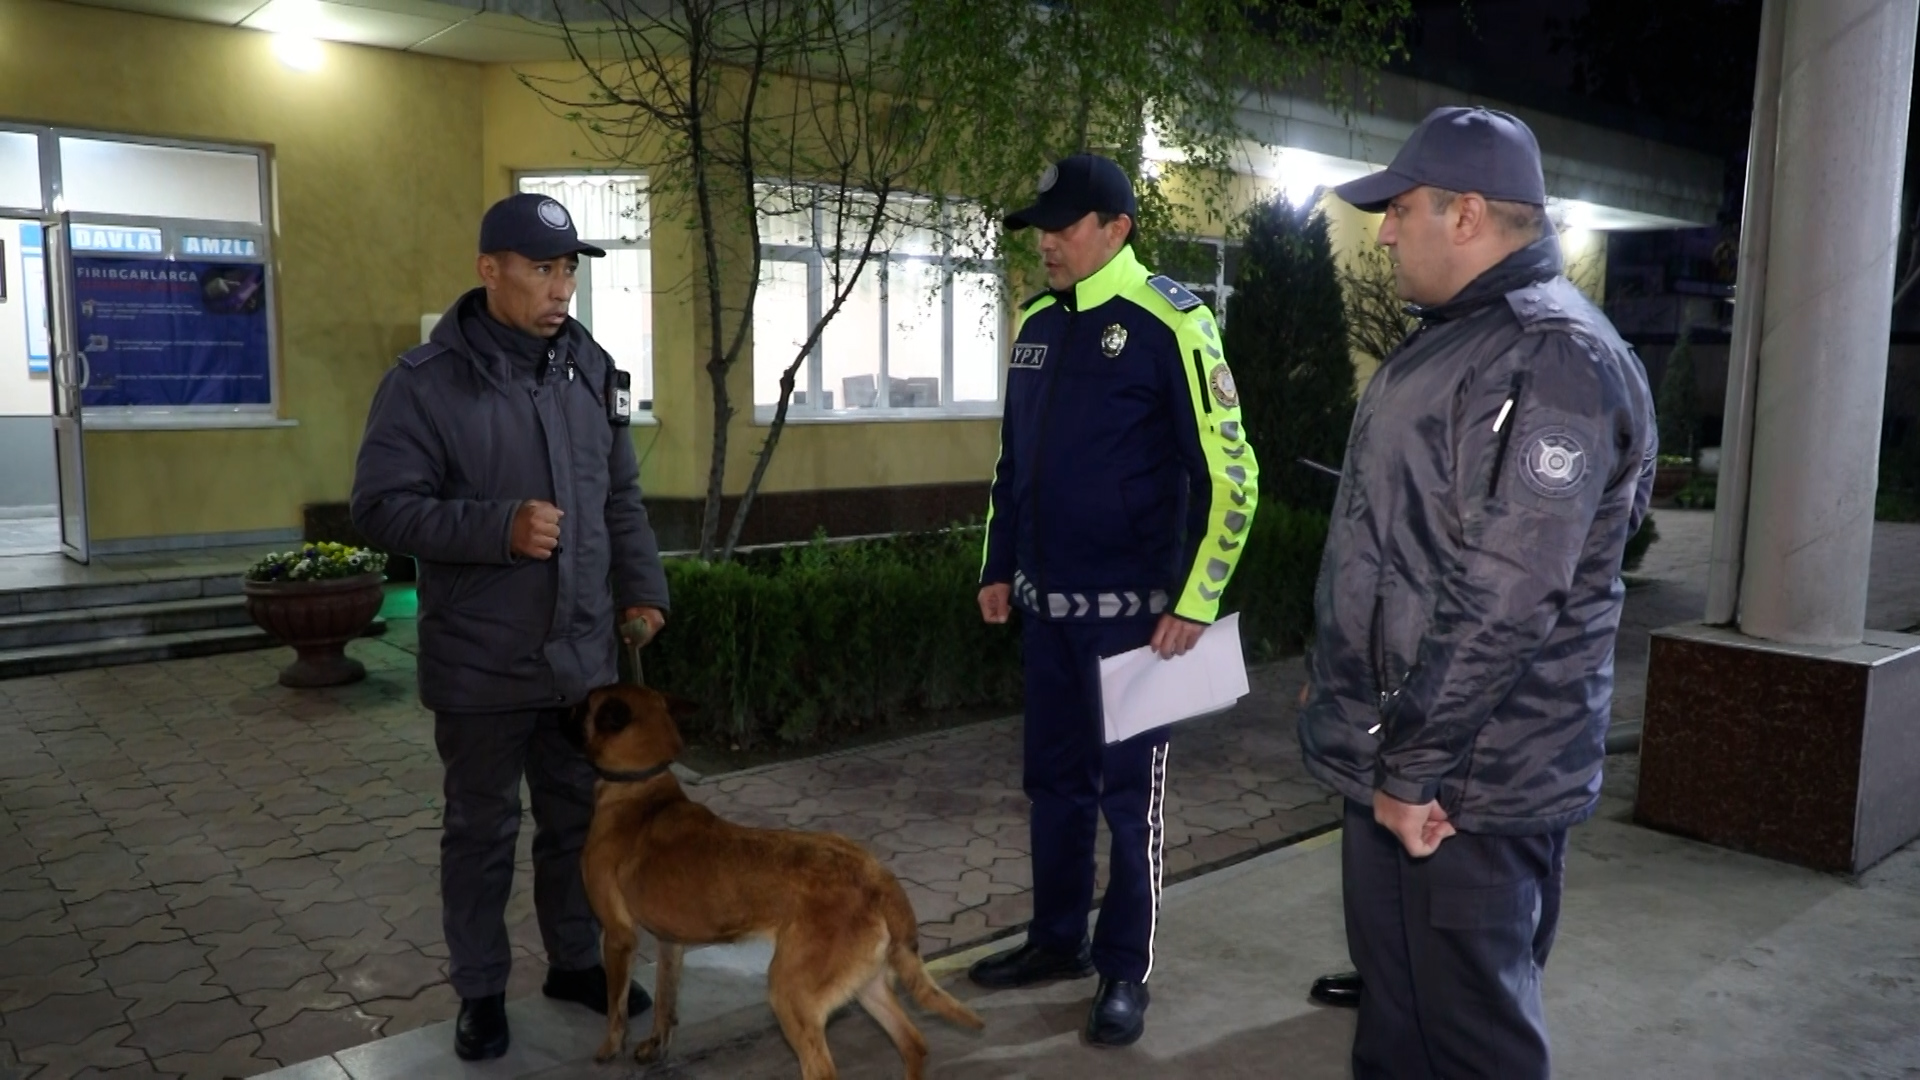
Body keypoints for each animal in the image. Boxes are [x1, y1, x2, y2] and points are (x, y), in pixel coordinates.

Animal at [569, 683, 984, 1078]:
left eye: (583, 704)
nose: (560, 706)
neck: (642, 789)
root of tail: (876, 876)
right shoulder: (671, 942)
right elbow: (665, 1003)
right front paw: (656, 1046)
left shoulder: (618, 934)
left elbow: (616, 1005)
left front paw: (609, 1048)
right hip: (867, 984)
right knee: (914, 1043)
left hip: (790, 993)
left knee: (824, 1069)